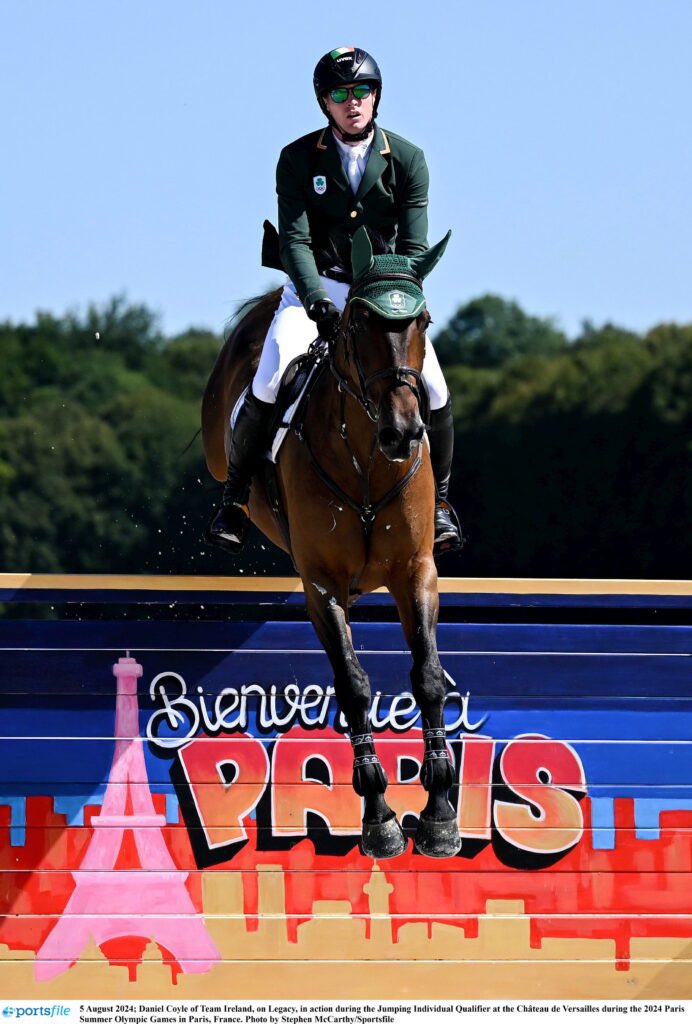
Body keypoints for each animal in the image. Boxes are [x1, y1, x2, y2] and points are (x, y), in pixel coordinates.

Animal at [201, 227, 460, 859]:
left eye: (424, 321)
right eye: (359, 325)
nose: (403, 432)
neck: (366, 454)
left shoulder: (416, 572)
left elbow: (428, 676)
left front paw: (439, 812)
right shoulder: (322, 586)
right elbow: (353, 684)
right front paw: (379, 816)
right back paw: (228, 514)